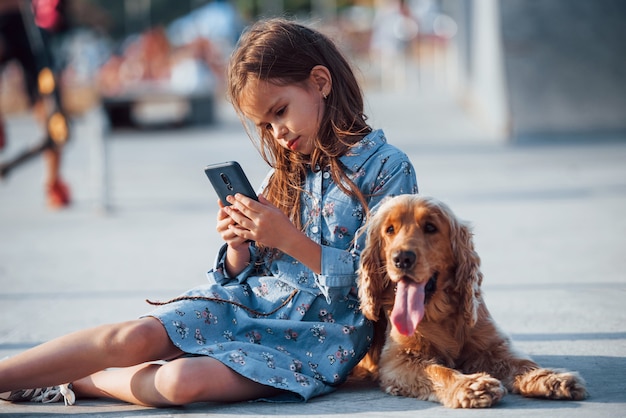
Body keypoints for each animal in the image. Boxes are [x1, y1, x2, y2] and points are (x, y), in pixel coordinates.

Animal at [356, 195, 584, 408]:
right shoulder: (399, 359)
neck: (440, 313)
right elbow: (437, 370)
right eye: (390, 230)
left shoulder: (492, 345)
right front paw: (471, 386)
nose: (402, 258)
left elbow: (522, 363)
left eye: (430, 227)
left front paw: (552, 378)